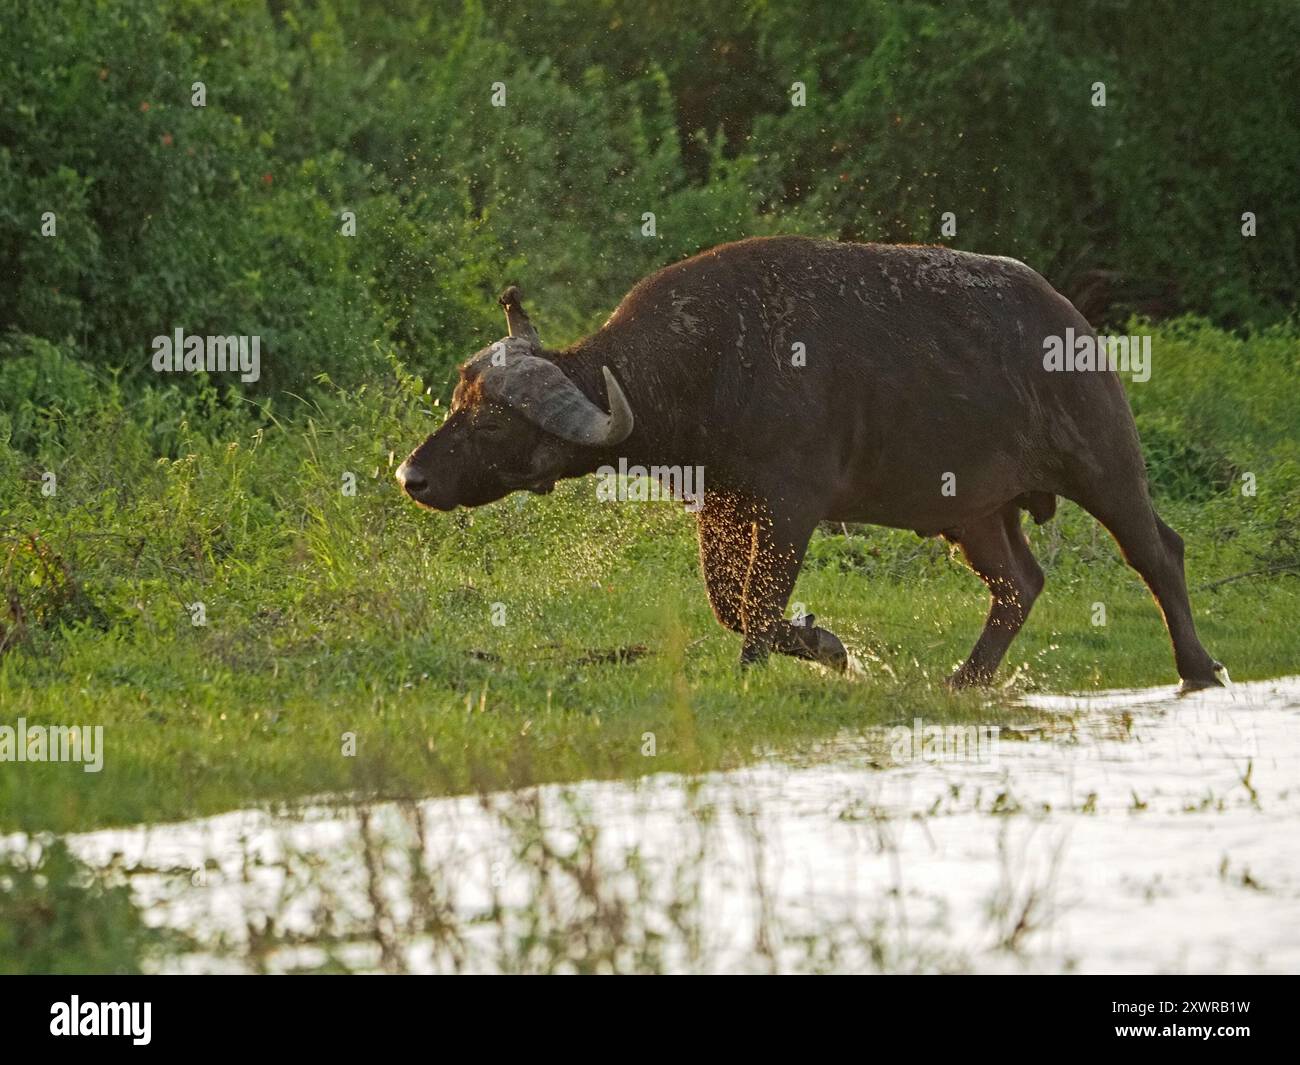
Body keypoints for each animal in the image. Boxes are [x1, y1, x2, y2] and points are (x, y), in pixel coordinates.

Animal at [397, 237, 1224, 691]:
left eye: (492, 420)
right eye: (456, 401)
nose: (413, 476)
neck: (711, 364)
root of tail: (1074, 324)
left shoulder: (791, 504)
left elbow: (759, 603)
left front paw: (801, 654)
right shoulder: (721, 508)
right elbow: (729, 603)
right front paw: (815, 646)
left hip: (1105, 463)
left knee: (1158, 550)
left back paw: (1197, 665)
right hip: (976, 512)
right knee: (1019, 584)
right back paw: (966, 677)